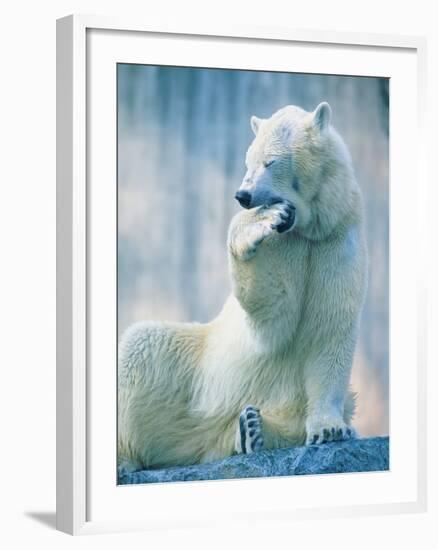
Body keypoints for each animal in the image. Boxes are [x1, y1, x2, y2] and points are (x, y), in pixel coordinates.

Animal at [118, 104, 368, 474]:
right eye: (247, 161)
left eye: (270, 161)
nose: (243, 195)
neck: (309, 227)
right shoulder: (287, 244)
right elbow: (273, 312)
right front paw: (258, 223)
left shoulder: (336, 240)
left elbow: (330, 329)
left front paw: (330, 429)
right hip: (194, 367)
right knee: (141, 345)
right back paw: (126, 456)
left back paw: (252, 429)